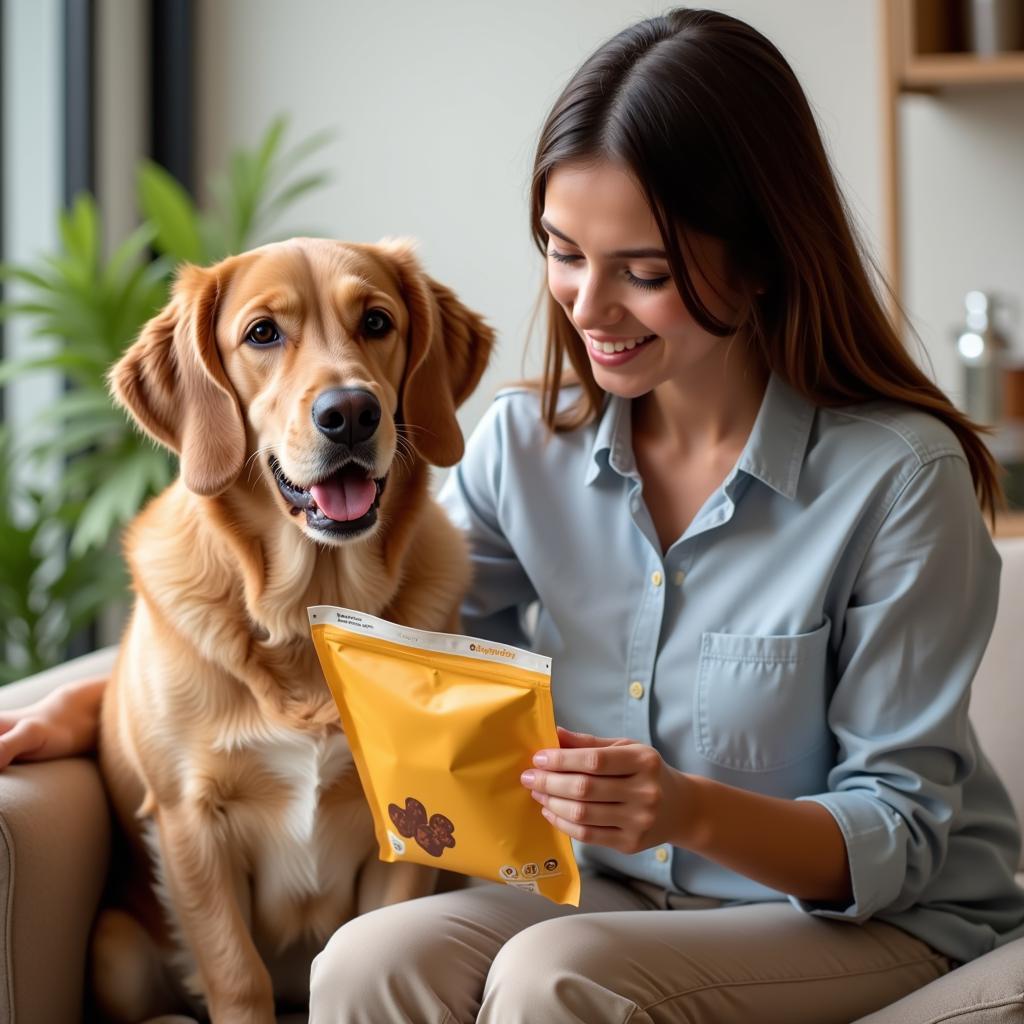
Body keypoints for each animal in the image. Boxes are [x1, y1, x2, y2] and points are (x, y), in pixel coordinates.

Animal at [92, 235, 495, 1019]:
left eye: (376, 322)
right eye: (262, 334)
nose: (352, 413)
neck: (307, 608)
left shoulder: (399, 827)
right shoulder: (190, 821)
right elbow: (237, 974)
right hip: (115, 951)